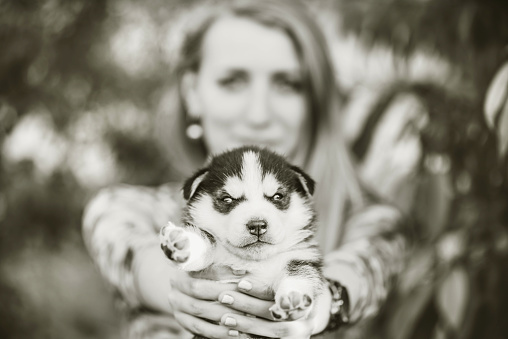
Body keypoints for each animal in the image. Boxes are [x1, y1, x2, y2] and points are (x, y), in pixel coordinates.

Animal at [160, 146, 326, 330]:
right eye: (227, 199)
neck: (253, 262)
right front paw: (182, 243)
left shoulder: (300, 257)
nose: (257, 225)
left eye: (277, 196)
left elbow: (300, 274)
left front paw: (292, 298)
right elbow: (206, 240)